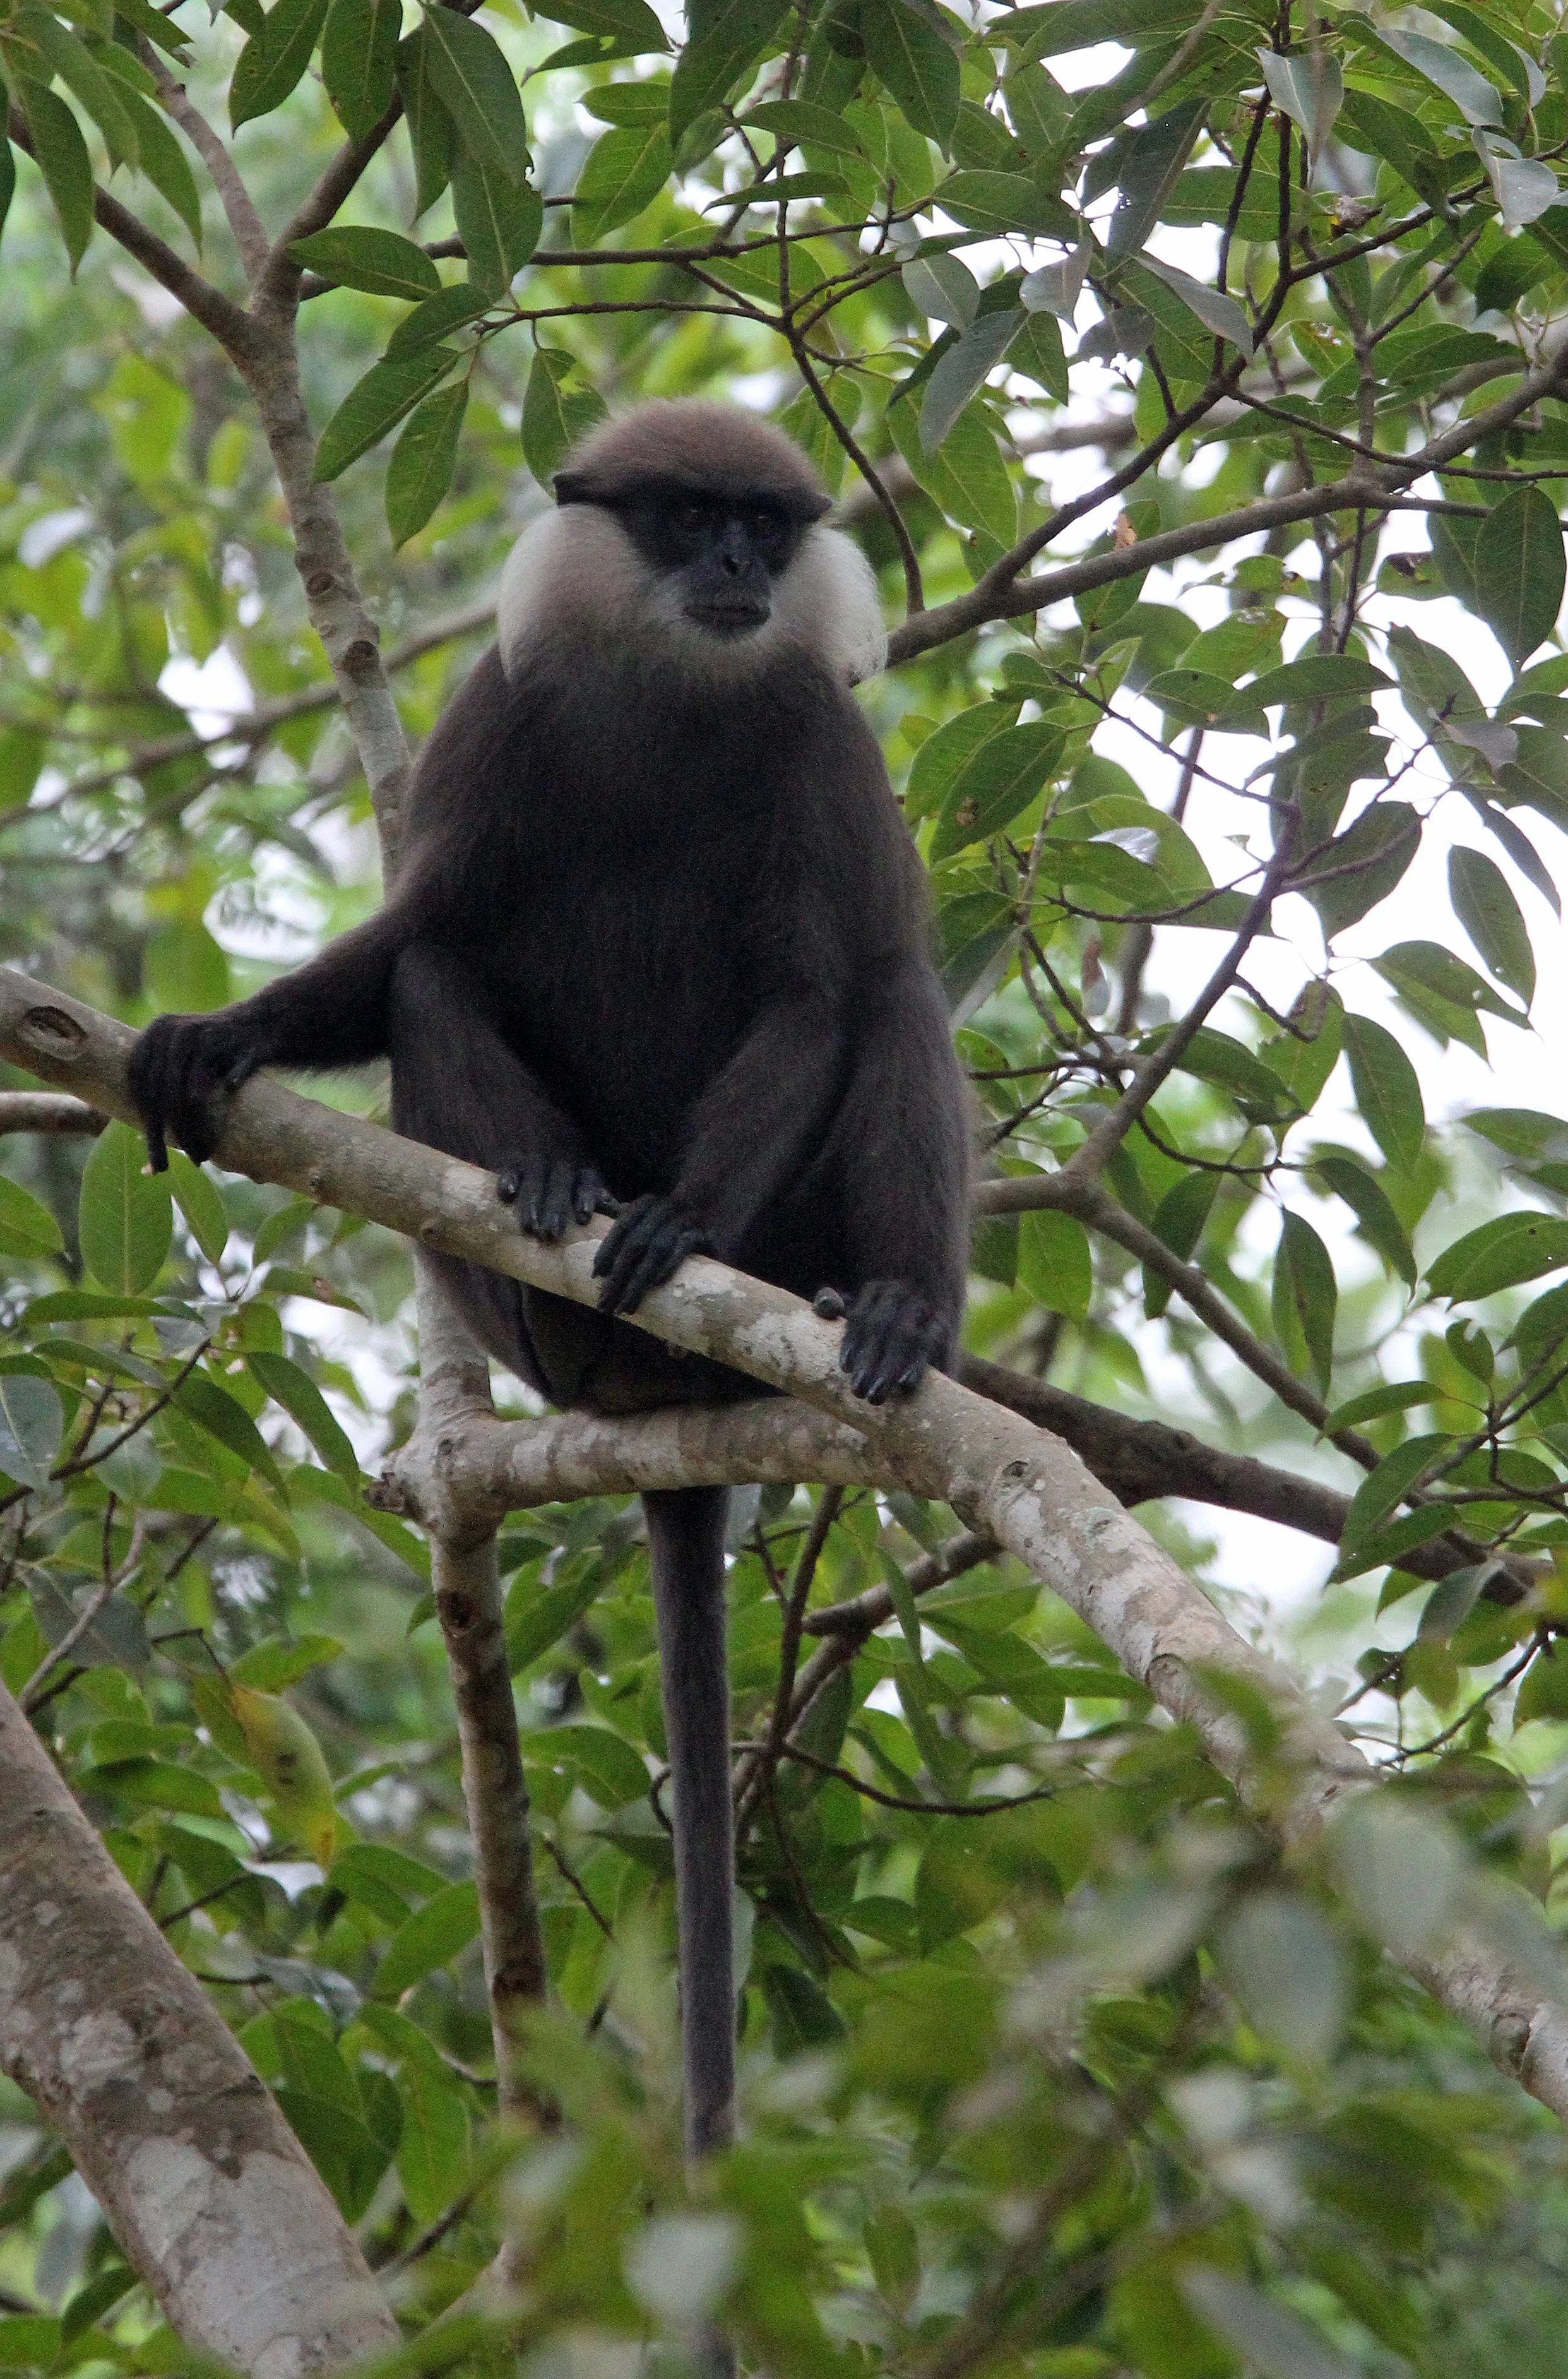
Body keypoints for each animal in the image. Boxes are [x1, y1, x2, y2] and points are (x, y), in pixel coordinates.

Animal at [129, 398, 971, 2174]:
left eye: (761, 524)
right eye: (681, 515)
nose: (735, 569)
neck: (668, 691)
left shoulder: (814, 734)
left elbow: (818, 991)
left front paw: (679, 1229)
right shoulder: (493, 713)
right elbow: (415, 939)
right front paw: (223, 1037)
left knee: (891, 992)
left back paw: (884, 1316)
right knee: (444, 972)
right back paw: (550, 1199)